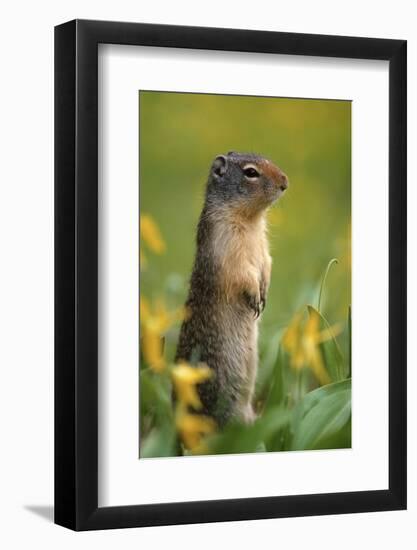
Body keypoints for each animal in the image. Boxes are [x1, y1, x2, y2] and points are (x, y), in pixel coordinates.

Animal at [174, 153, 288, 430]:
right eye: (251, 173)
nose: (285, 182)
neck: (251, 220)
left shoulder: (263, 246)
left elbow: (267, 262)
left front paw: (264, 292)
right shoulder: (226, 244)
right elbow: (242, 273)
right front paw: (255, 297)